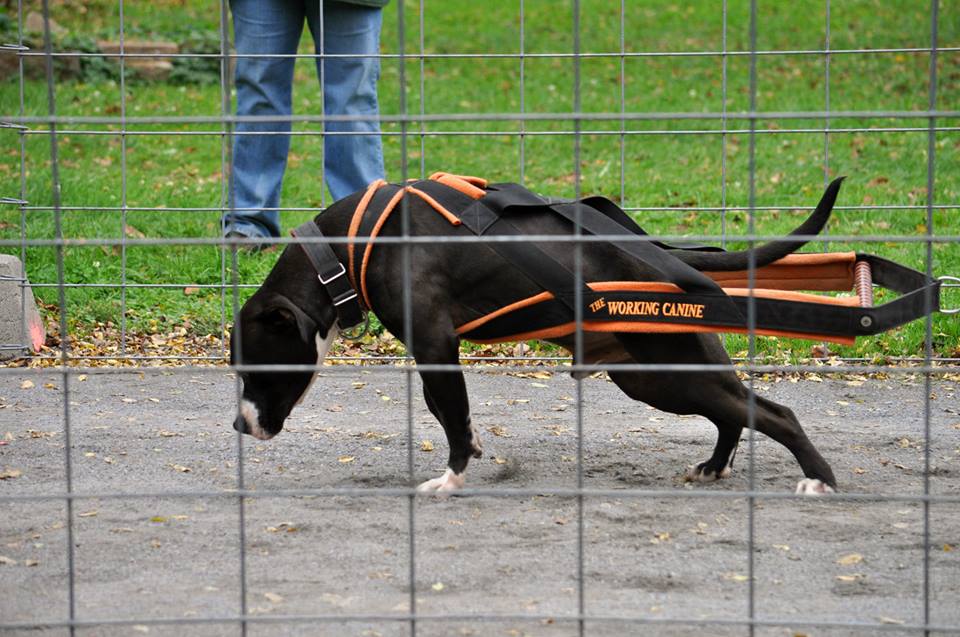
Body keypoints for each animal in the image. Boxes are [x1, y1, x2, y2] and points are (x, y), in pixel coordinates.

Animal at [231, 176, 840, 494]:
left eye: (256, 367)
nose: (238, 425)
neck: (347, 247)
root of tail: (664, 255)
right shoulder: (434, 353)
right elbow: (445, 411)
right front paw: (472, 447)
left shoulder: (435, 346)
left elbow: (449, 415)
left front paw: (450, 479)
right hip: (654, 379)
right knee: (736, 412)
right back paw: (715, 467)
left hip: (674, 371)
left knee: (775, 414)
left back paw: (819, 479)